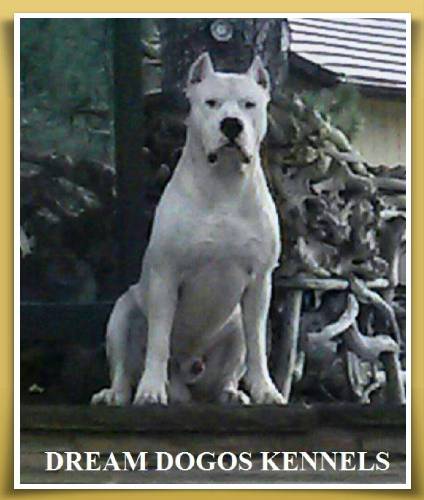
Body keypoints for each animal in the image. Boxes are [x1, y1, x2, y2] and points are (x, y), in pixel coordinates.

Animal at [92, 53, 284, 406]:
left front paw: (266, 390)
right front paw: (151, 390)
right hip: (122, 312)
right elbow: (158, 339)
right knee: (124, 368)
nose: (231, 124)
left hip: (234, 324)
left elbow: (257, 345)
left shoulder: (260, 282)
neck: (224, 184)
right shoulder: (166, 277)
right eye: (211, 102)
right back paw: (117, 393)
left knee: (232, 363)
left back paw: (230, 393)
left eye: (249, 104)